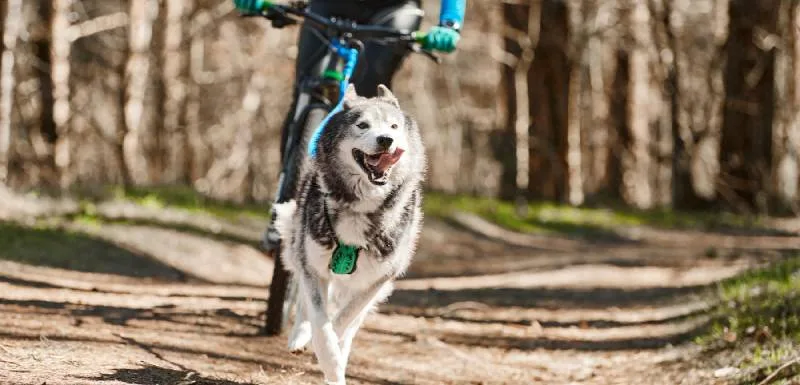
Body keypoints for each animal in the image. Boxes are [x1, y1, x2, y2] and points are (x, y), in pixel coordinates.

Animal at [274, 83, 428, 380]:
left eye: (393, 126)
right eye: (362, 125)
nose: (386, 140)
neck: (361, 207)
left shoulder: (378, 278)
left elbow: (346, 318)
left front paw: (336, 357)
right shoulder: (313, 266)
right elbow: (319, 320)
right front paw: (327, 357)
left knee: (351, 318)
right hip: (298, 247)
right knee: (303, 301)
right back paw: (300, 337)